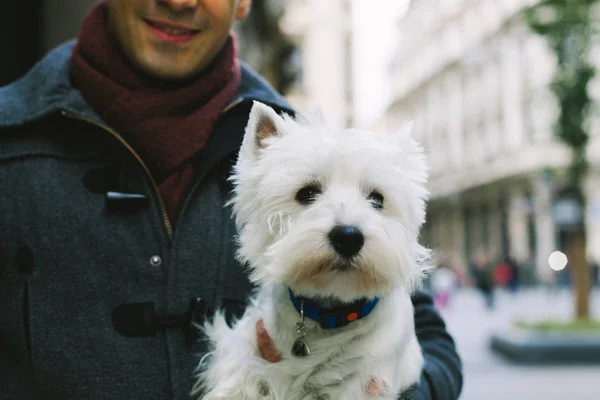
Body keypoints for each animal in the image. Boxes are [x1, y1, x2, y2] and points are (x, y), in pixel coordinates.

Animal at [192, 102, 432, 400]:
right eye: (306, 193)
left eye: (377, 199)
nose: (348, 237)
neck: (328, 315)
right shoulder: (248, 344)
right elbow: (237, 377)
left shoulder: (365, 382)